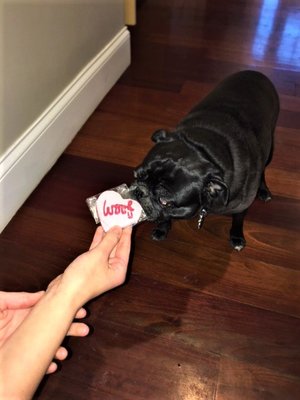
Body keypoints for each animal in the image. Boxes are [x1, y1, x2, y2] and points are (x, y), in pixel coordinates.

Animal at [130, 69, 280, 250]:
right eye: (137, 175)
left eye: (165, 201)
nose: (139, 191)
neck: (205, 150)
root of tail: (255, 73)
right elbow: (165, 217)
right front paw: (162, 228)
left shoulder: (242, 205)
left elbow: (238, 219)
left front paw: (236, 236)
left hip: (269, 149)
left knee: (263, 168)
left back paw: (263, 191)